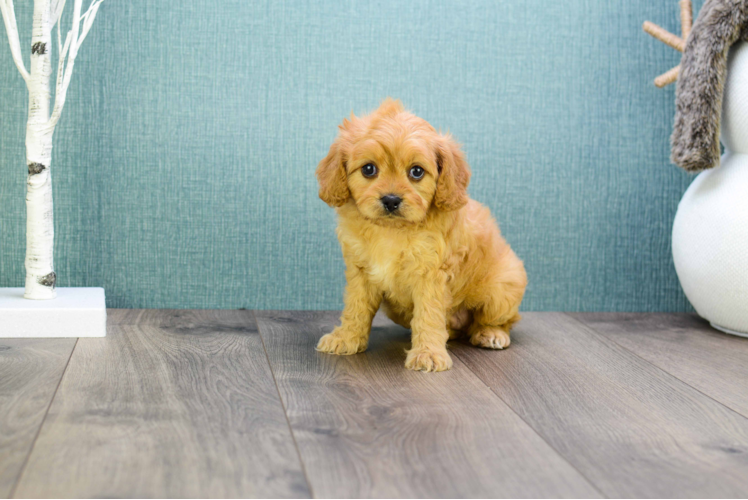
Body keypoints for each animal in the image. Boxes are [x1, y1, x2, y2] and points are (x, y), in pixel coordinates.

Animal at [314, 98, 524, 372]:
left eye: (416, 172)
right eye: (368, 169)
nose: (391, 200)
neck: (392, 230)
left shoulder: (431, 273)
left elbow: (428, 314)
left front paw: (428, 353)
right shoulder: (360, 270)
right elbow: (356, 306)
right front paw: (346, 338)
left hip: (504, 286)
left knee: (499, 319)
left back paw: (491, 333)